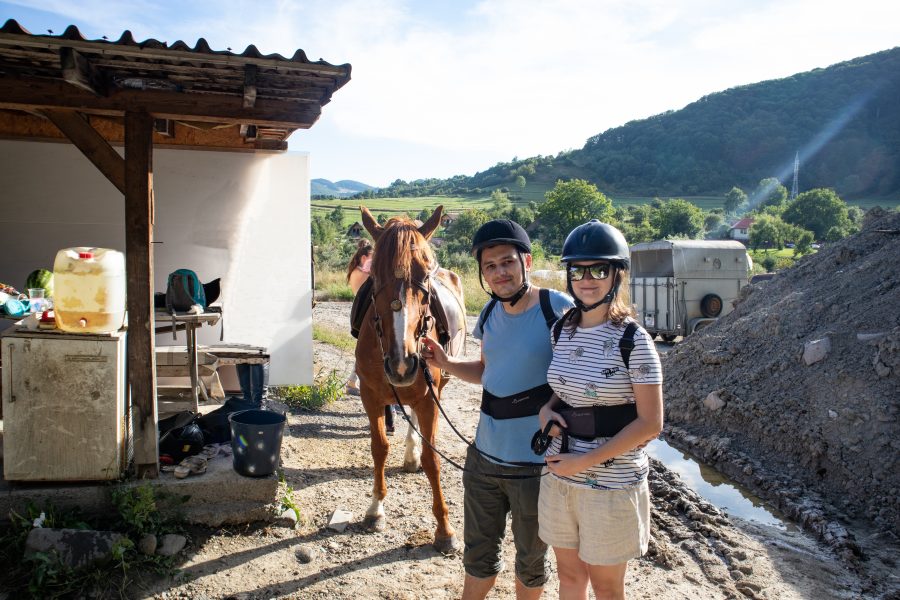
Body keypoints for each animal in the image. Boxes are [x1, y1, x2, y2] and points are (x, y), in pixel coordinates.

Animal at [356, 205, 464, 552]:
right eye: (374, 276)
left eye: (426, 275)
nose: (402, 363)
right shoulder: (370, 395)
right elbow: (379, 447)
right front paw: (376, 508)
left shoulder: (430, 397)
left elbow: (433, 459)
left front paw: (444, 529)